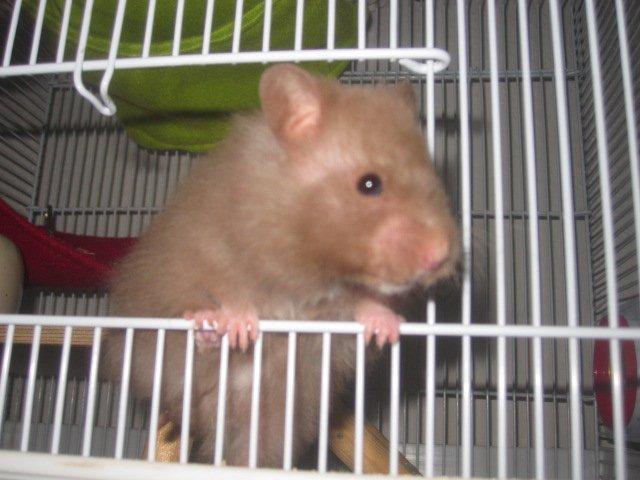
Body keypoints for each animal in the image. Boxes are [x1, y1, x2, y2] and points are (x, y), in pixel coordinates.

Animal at [101, 64, 460, 468]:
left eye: (435, 180)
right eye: (370, 184)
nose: (441, 253)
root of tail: (210, 418)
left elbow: (363, 303)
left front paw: (388, 327)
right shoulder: (218, 248)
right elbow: (231, 288)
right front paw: (240, 325)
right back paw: (213, 328)